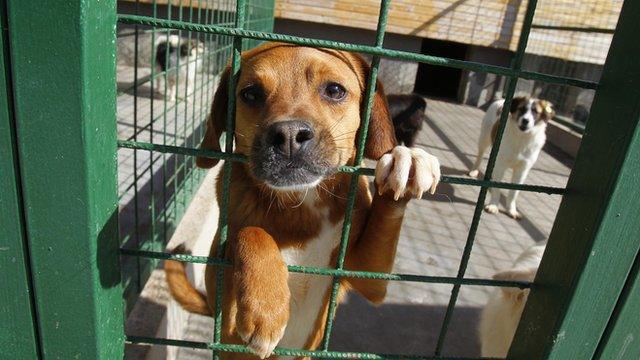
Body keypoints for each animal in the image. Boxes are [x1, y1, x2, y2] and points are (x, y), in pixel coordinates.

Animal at [165, 41, 442, 358]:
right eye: (251, 93)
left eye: (334, 90)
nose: (288, 135)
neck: (302, 205)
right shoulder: (228, 325)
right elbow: (250, 231)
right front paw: (265, 309)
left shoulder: (369, 276)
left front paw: (405, 160)